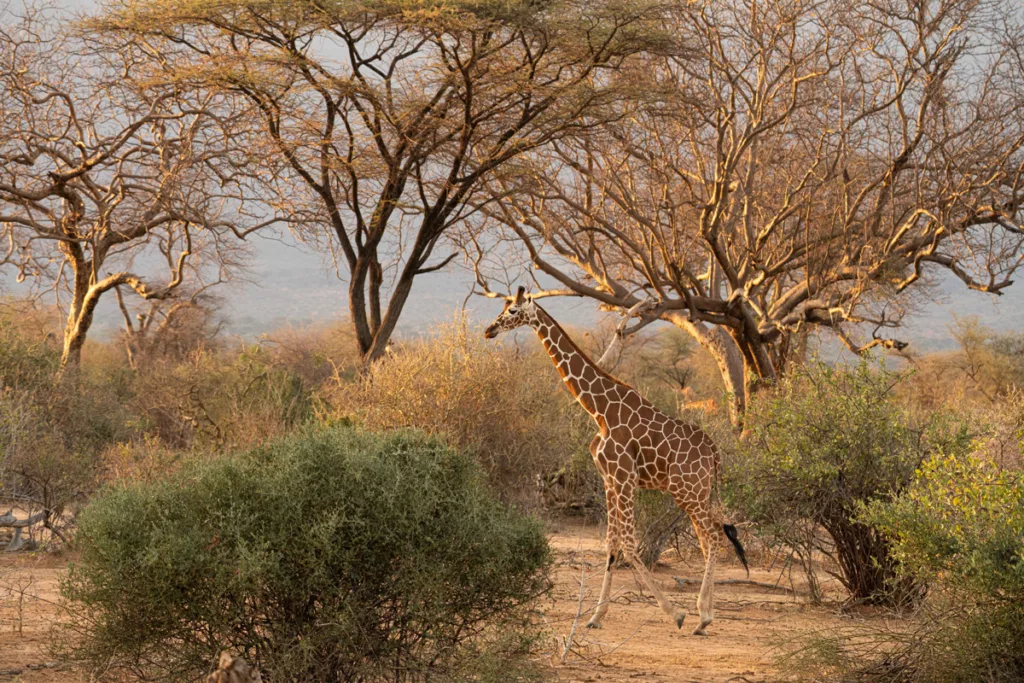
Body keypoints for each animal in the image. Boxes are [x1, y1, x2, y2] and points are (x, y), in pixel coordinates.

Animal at [483, 284, 749, 634]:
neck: (599, 411)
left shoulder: (624, 478)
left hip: (687, 492)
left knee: (715, 538)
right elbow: (611, 543)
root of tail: (714, 452)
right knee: (711, 539)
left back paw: (702, 616)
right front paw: (595, 616)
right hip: (698, 494)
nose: (489, 330)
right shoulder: (609, 479)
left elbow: (629, 543)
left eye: (512, 311)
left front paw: (675, 613)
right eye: (502, 308)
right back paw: (705, 615)